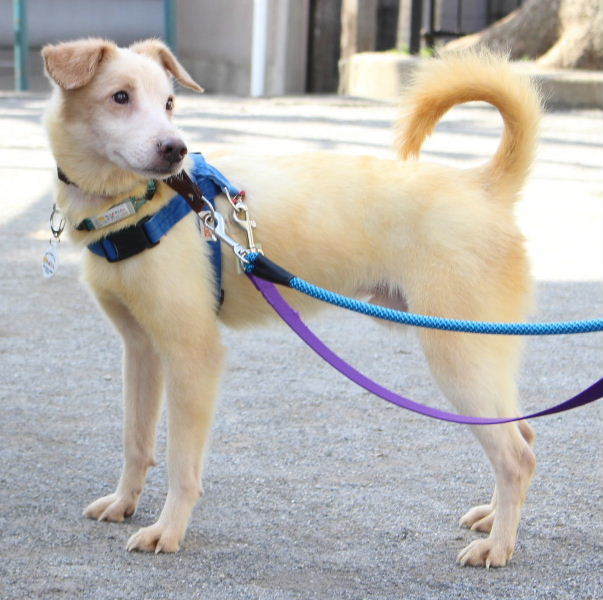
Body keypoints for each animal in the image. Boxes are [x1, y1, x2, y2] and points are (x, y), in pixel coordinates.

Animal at [42, 38, 540, 567]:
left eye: (170, 102)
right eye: (120, 97)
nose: (175, 150)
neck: (138, 205)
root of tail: (482, 185)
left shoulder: (193, 355)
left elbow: (181, 464)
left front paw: (168, 530)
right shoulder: (141, 351)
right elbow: (136, 442)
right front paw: (123, 503)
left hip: (458, 358)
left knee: (517, 456)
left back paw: (498, 545)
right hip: (480, 355)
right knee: (524, 434)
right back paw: (493, 518)